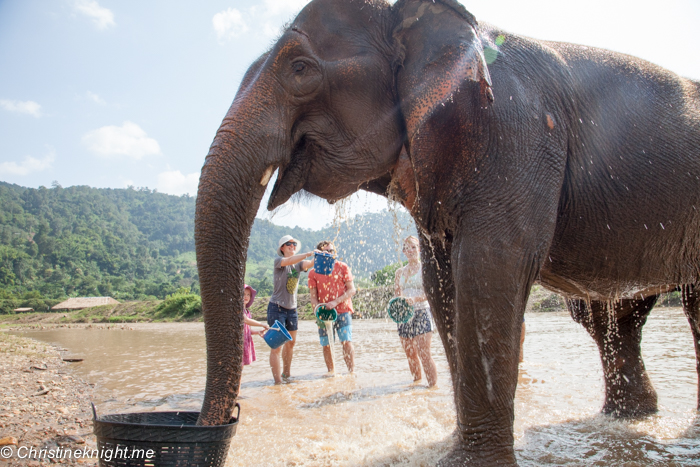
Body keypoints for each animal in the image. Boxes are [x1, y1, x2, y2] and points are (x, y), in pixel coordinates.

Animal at [194, 0, 700, 466]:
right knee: (616, 318)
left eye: (300, 69)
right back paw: (631, 416)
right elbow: (442, 286)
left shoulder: (516, 133)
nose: (217, 430)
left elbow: (490, 267)